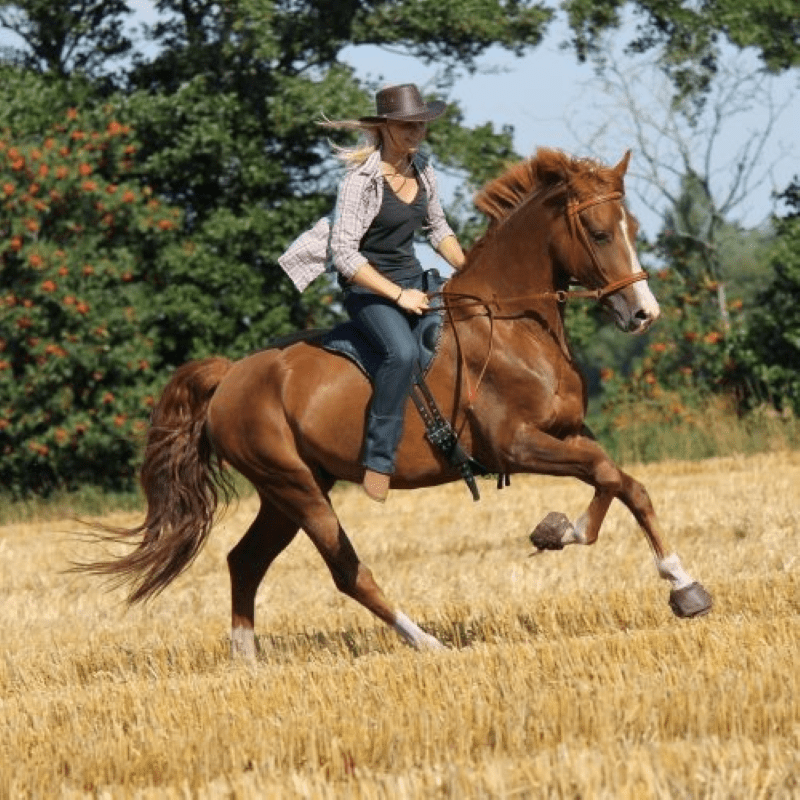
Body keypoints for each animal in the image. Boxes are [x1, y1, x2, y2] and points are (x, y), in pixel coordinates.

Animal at [81, 147, 712, 660]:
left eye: (632, 225)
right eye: (600, 233)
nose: (643, 313)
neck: (514, 323)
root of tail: (230, 375)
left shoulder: (568, 432)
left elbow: (622, 482)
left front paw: (665, 577)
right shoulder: (516, 445)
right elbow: (608, 475)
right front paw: (598, 548)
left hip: (288, 491)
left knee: (245, 561)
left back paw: (247, 661)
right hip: (297, 488)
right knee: (346, 572)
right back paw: (425, 641)